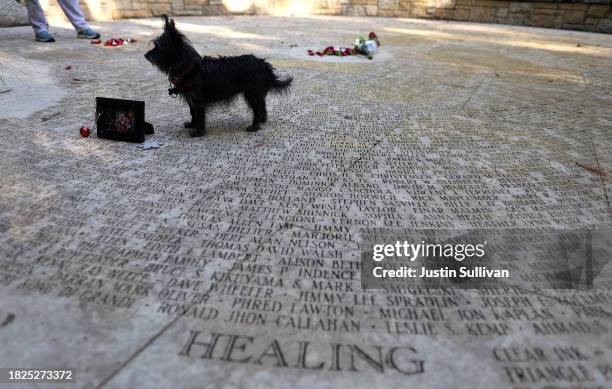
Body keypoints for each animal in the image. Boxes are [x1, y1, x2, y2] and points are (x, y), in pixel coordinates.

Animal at [146, 14, 294, 136]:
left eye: (158, 47)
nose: (146, 55)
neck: (187, 66)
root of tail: (263, 65)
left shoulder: (197, 100)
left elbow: (199, 115)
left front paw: (198, 132)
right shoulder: (191, 99)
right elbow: (193, 112)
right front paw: (192, 124)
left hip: (252, 93)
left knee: (257, 108)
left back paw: (254, 126)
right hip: (256, 93)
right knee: (262, 106)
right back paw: (262, 121)